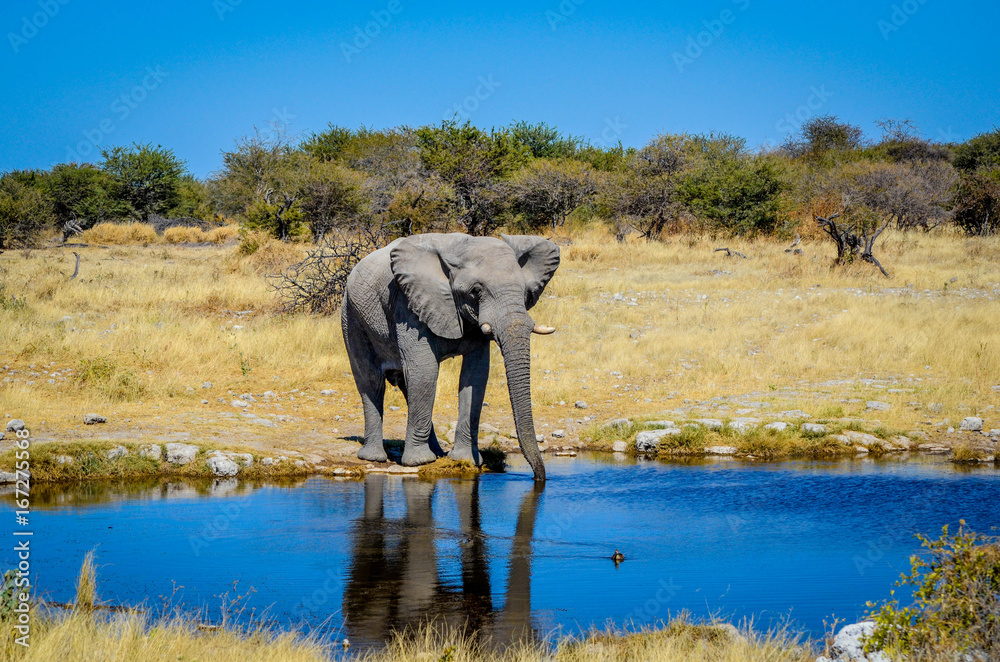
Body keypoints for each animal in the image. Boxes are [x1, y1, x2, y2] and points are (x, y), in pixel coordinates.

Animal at [341, 233, 560, 481]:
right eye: (476, 291)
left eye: (525, 292)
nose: (539, 479)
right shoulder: (408, 304)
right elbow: (424, 371)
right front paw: (419, 462)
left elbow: (476, 375)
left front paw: (464, 460)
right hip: (351, 314)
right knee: (371, 381)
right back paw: (375, 458)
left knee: (406, 384)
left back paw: (436, 453)